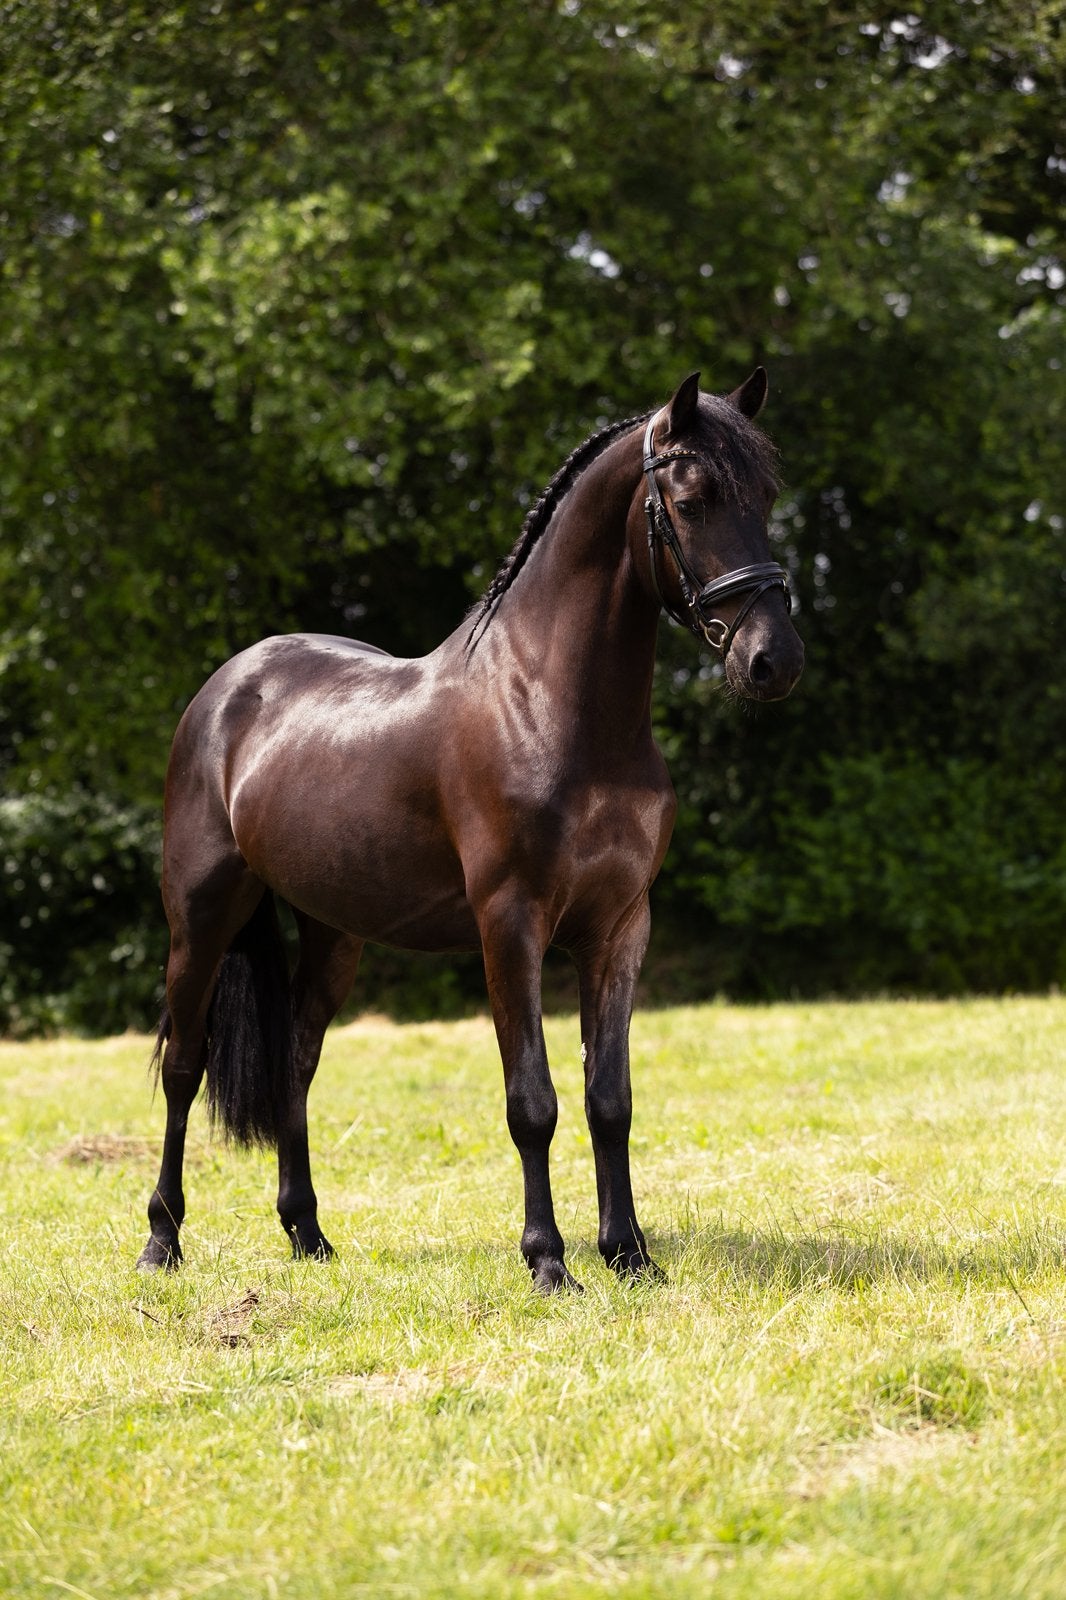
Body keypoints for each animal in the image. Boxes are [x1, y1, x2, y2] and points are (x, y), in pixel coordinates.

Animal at [138, 369, 804, 1290]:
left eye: (768, 496)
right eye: (693, 498)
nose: (774, 661)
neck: (554, 708)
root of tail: (228, 686)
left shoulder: (619, 927)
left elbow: (610, 1099)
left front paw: (629, 1255)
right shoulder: (509, 924)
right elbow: (533, 1100)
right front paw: (549, 1261)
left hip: (333, 932)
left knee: (295, 1062)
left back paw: (308, 1234)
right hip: (202, 915)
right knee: (183, 1067)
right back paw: (161, 1241)